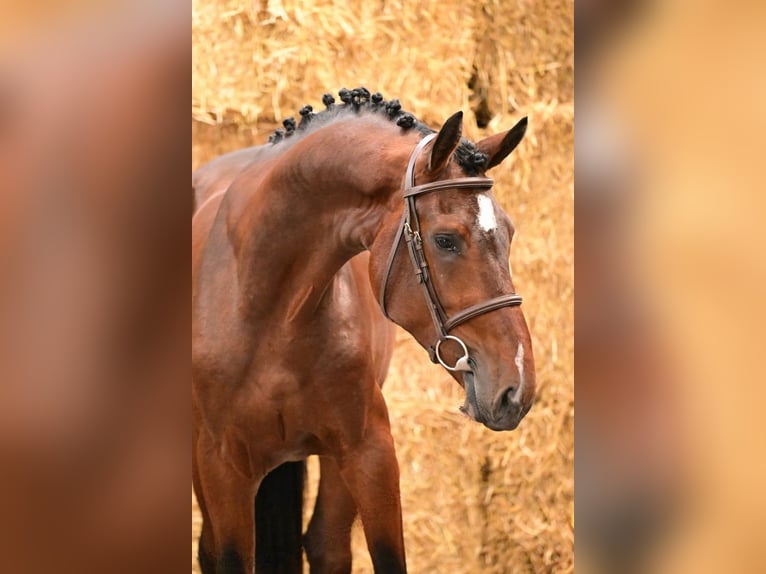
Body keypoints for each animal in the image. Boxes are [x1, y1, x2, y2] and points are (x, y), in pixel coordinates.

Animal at [192, 87, 536, 574]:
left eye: (508, 232)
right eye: (446, 240)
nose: (517, 387)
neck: (269, 314)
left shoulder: (369, 452)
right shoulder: (222, 467)